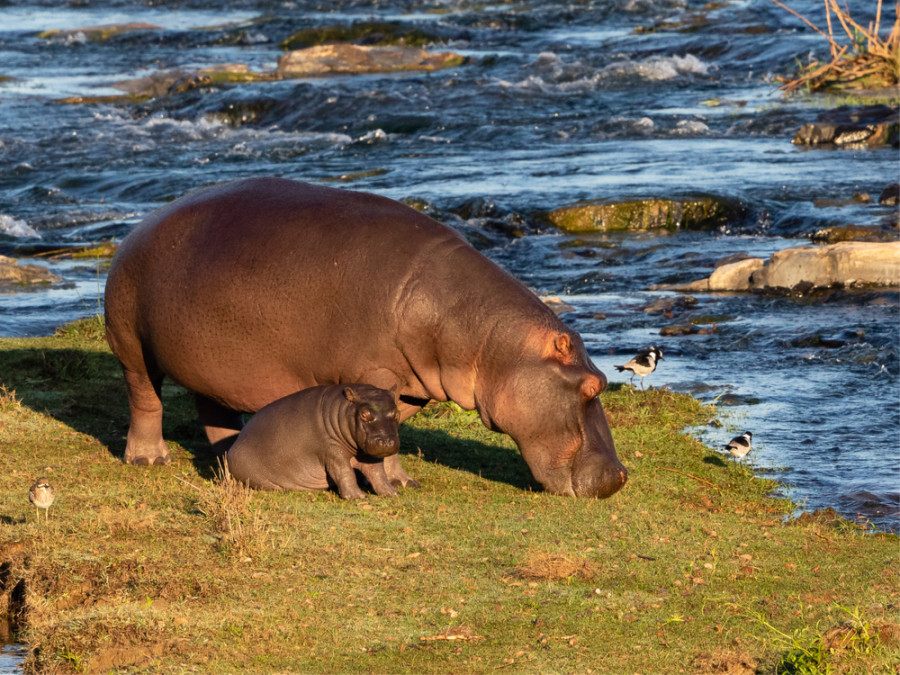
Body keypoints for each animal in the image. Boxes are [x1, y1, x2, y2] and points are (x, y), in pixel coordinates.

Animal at [227, 382, 400, 500]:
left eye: (396, 412)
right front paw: (358, 496)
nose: (387, 442)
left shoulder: (368, 453)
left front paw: (392, 492)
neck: (343, 410)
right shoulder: (333, 452)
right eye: (364, 414)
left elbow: (378, 473)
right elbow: (345, 472)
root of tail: (236, 442)